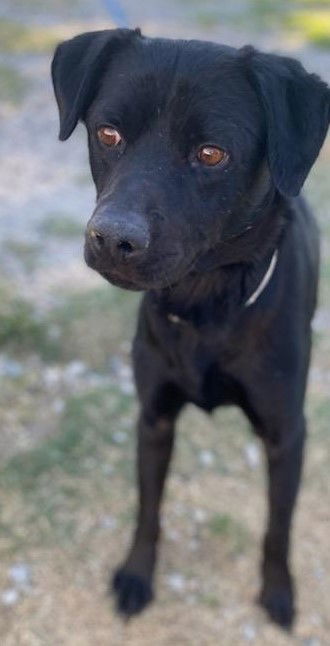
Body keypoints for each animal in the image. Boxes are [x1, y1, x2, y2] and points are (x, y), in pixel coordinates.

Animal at [51, 27, 330, 632]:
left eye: (210, 154)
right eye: (108, 133)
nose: (112, 238)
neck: (207, 308)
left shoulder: (287, 435)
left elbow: (278, 527)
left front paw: (278, 591)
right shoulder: (153, 417)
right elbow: (148, 507)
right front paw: (137, 575)